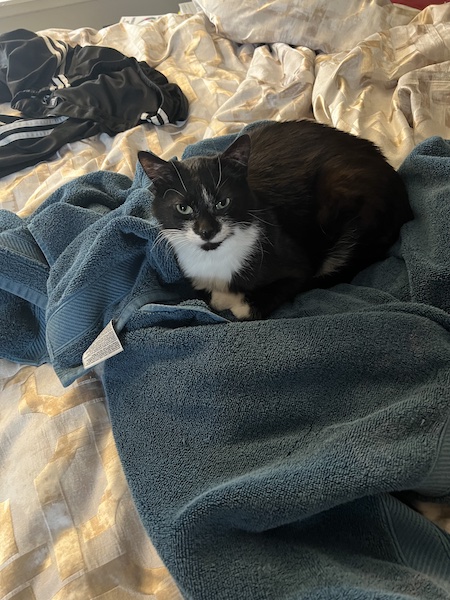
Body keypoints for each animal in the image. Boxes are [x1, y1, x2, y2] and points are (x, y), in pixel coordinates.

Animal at [139, 119, 414, 322]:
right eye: (183, 208)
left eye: (223, 202)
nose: (207, 231)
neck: (216, 259)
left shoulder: (295, 263)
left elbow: (290, 284)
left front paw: (236, 302)